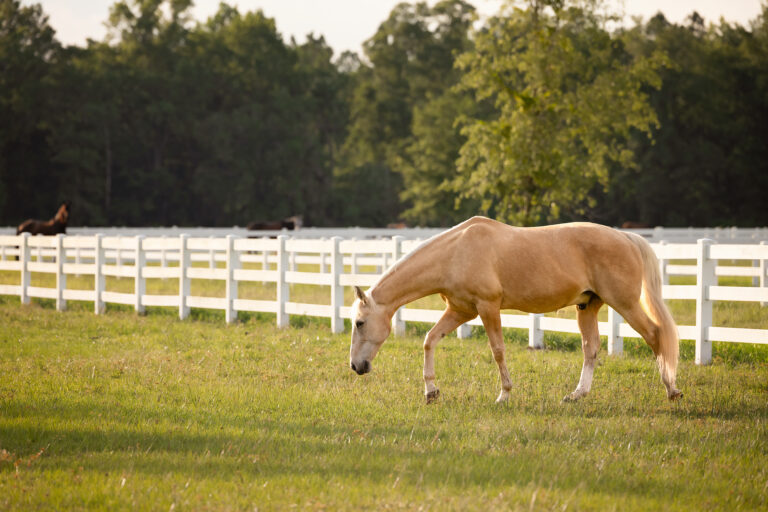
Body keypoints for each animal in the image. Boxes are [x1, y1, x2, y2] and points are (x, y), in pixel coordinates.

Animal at [349, 216, 682, 404]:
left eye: (360, 323)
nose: (355, 366)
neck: (455, 252)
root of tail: (626, 237)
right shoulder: (460, 311)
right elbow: (430, 340)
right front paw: (431, 392)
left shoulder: (487, 308)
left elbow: (498, 350)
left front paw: (504, 395)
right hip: (588, 306)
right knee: (592, 349)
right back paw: (577, 395)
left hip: (625, 303)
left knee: (656, 335)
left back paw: (671, 390)